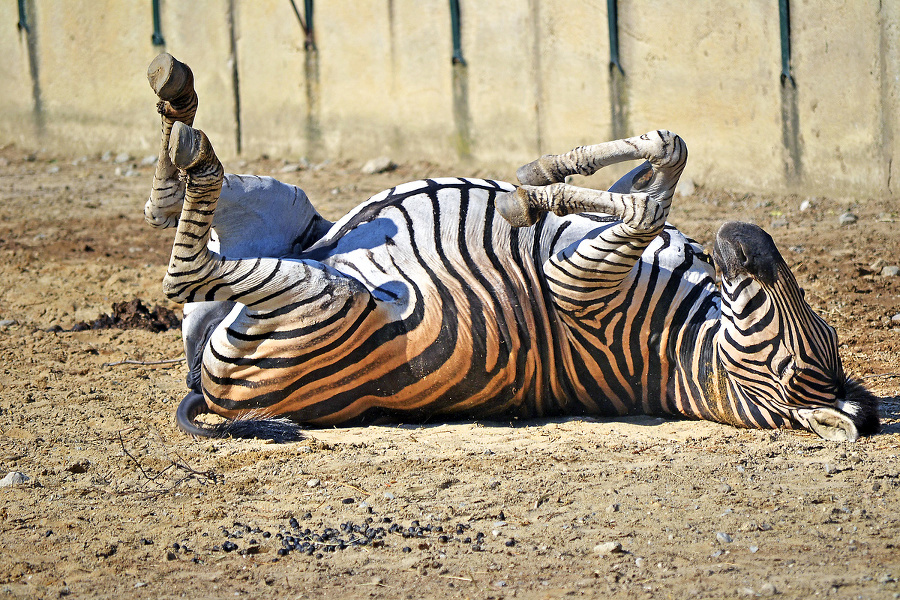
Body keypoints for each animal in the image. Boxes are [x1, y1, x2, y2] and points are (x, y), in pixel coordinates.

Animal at [146, 54, 880, 442]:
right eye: (824, 326)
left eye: (797, 368)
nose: (747, 239)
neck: (692, 332)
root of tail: (203, 391)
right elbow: (667, 155)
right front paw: (542, 175)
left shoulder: (575, 290)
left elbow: (645, 203)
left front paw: (527, 197)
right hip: (293, 212)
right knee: (180, 216)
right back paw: (176, 114)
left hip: (327, 296)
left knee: (185, 272)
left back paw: (186, 143)